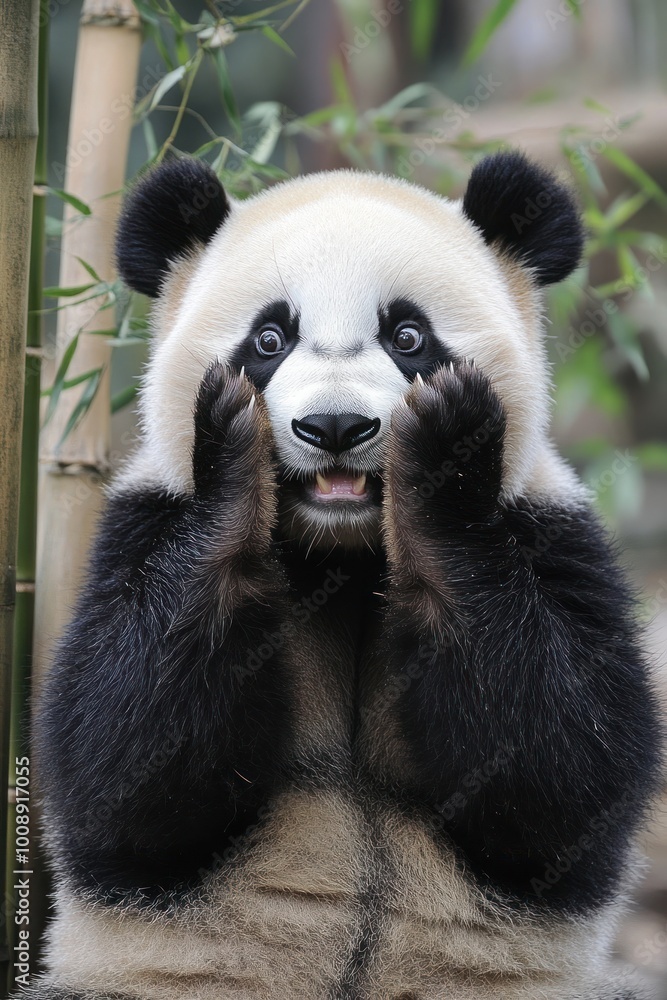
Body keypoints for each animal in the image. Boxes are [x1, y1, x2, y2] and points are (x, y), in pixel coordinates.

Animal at [23, 151, 661, 1000]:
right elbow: (120, 768)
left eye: (407, 334)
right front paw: (229, 441)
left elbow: (560, 773)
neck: (341, 553)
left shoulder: (549, 533)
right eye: (268, 336)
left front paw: (445, 445)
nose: (334, 427)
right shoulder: (141, 531)